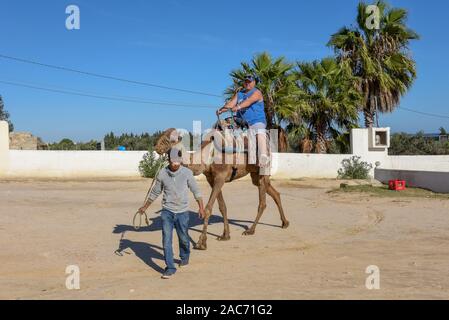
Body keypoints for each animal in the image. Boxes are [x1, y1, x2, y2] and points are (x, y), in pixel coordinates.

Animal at [152, 125, 288, 250]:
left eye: (170, 140)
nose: (156, 147)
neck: (207, 155)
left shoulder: (220, 177)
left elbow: (208, 208)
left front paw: (201, 243)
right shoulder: (211, 179)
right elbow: (222, 207)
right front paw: (225, 235)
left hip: (262, 170)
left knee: (262, 202)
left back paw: (250, 230)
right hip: (255, 175)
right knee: (274, 193)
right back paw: (285, 223)